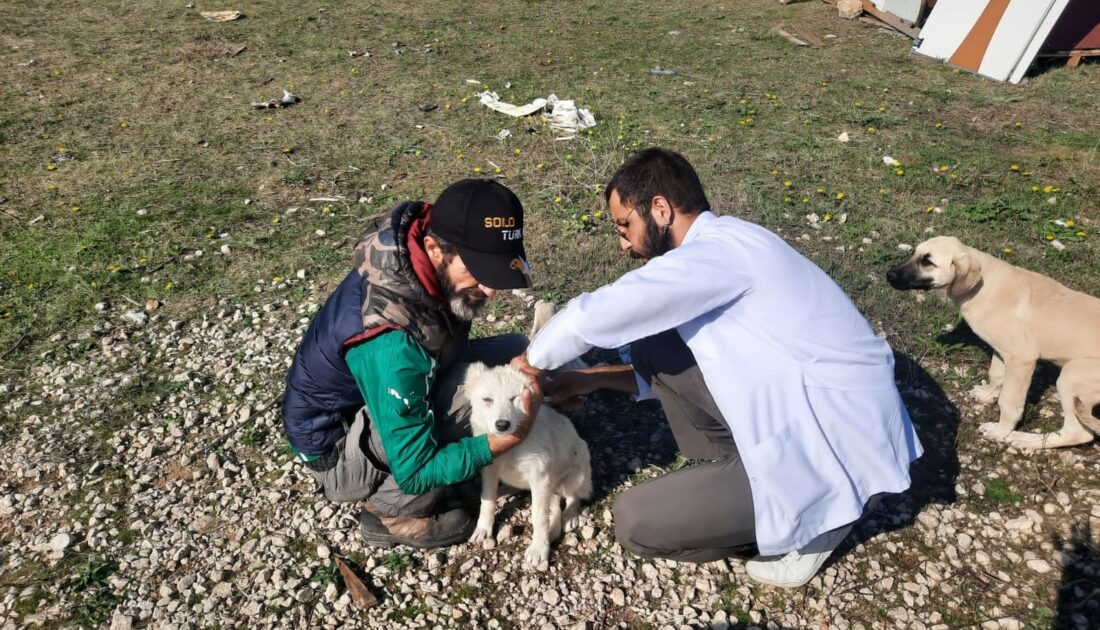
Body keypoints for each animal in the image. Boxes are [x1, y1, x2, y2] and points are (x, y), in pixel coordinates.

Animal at [464, 358, 594, 571]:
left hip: (577, 470)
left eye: (514, 398)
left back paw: (569, 516)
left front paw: (539, 549)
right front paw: (483, 528)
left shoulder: (540, 478)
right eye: (487, 400)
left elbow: (539, 517)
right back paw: (504, 491)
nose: (502, 425)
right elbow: (487, 501)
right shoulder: (489, 469)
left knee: (573, 497)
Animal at [884, 234, 1100, 446]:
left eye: (927, 262)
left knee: (1078, 434)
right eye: (914, 253)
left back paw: (1026, 440)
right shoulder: (1001, 351)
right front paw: (988, 394)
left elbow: (1009, 401)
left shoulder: (1022, 359)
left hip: (1071, 375)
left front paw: (1000, 431)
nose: (889, 275)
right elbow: (995, 375)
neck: (985, 287)